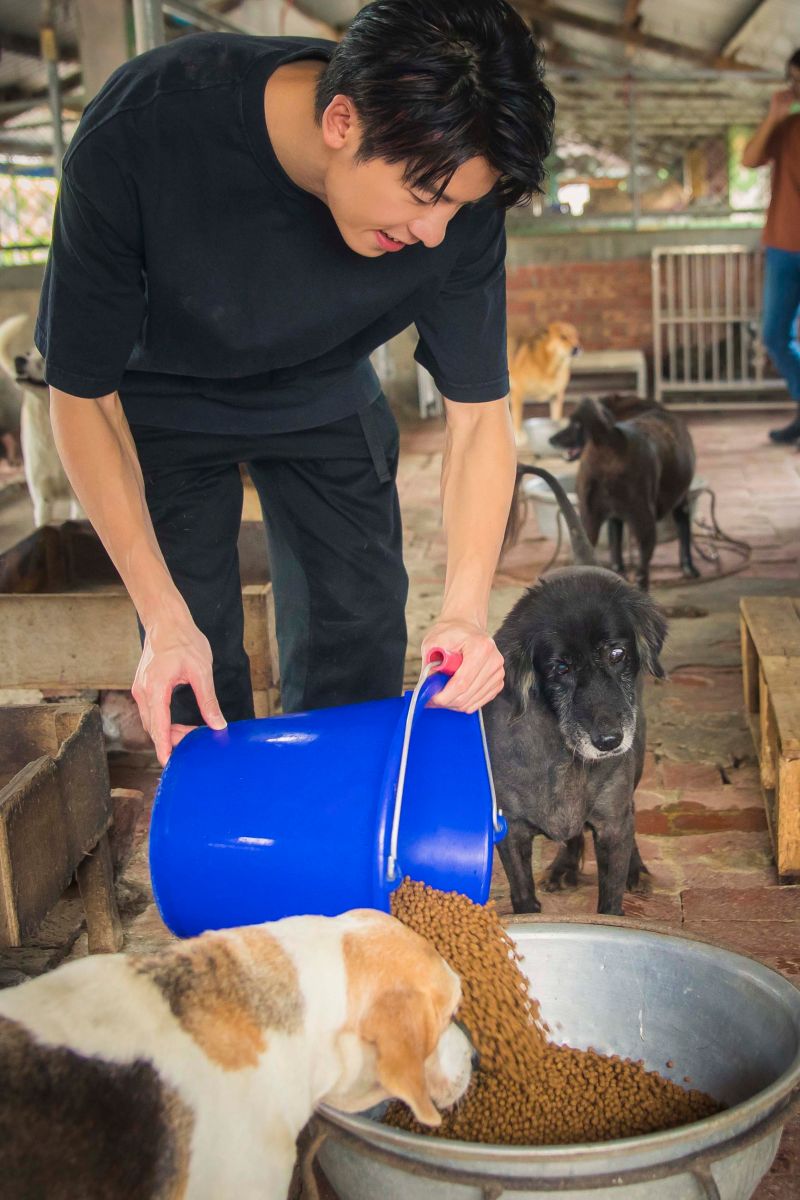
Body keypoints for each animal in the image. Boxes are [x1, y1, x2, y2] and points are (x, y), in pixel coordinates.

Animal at [489, 463, 671, 912]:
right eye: (560, 668)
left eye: (618, 653)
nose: (609, 742)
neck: (564, 758)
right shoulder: (511, 831)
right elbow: (524, 900)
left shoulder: (612, 826)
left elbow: (611, 904)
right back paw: (564, 865)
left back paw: (636, 868)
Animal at [551, 396, 700, 592]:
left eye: (575, 424)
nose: (551, 439)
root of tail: (607, 438)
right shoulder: (681, 503)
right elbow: (685, 536)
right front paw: (689, 567)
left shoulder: (614, 518)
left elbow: (616, 549)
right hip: (645, 525)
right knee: (642, 573)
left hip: (587, 523)